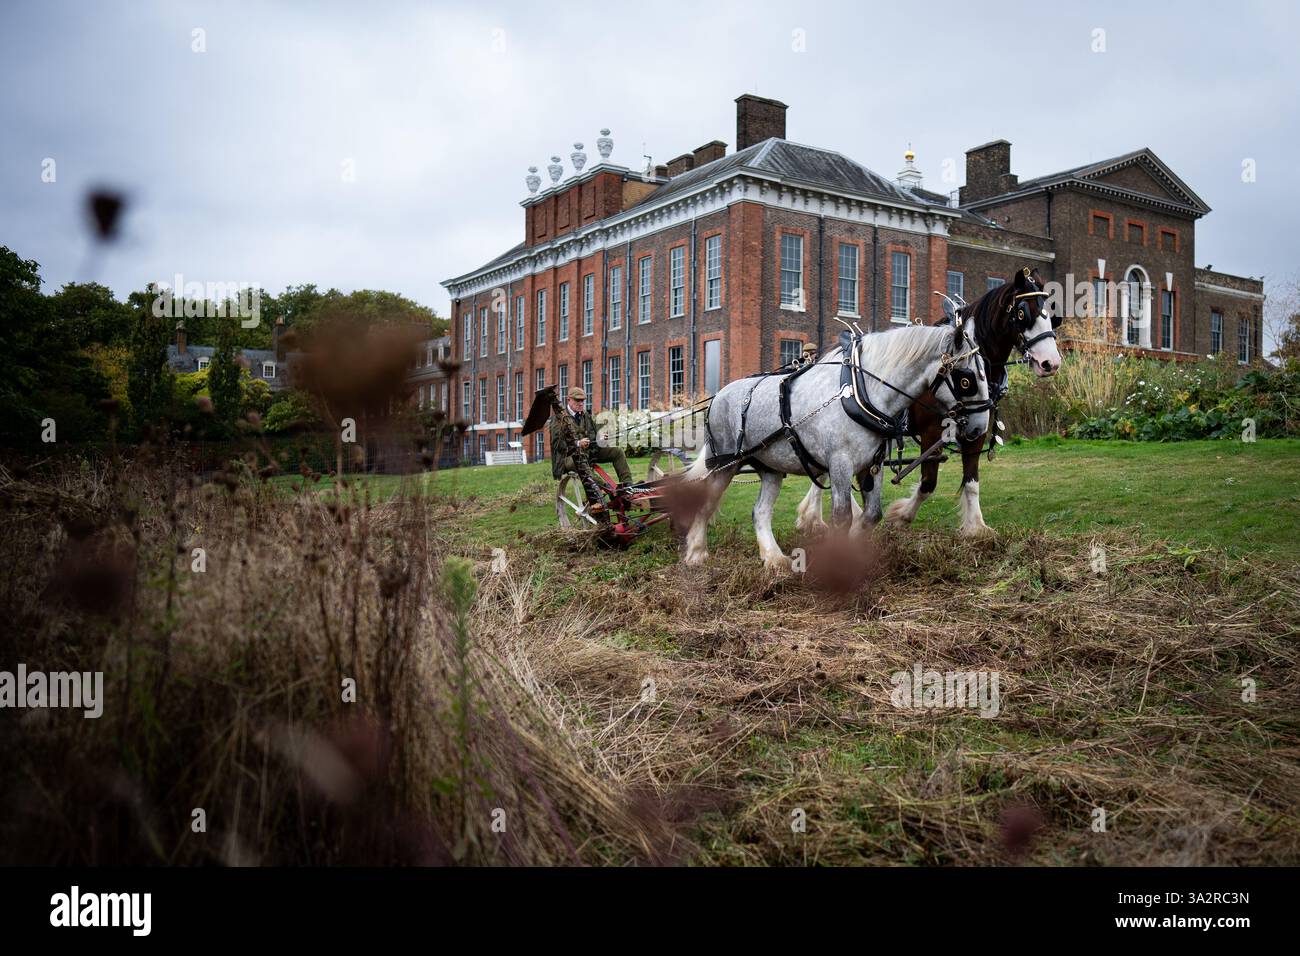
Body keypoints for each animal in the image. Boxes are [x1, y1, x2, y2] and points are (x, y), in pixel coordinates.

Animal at [679, 320, 991, 569]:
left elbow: (871, 515)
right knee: (705, 504)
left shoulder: (872, 465)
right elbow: (842, 516)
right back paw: (696, 554)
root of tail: (719, 395)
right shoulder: (840, 463)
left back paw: (774, 558)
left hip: (771, 468)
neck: (859, 391)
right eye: (966, 380)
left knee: (760, 512)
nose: (980, 428)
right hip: (724, 465)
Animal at [794, 266, 1062, 538]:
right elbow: (928, 483)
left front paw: (976, 527)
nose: (1050, 363)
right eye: (1022, 313)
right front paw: (901, 515)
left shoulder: (977, 428)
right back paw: (815, 517)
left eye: (1052, 316)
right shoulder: (932, 431)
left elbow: (971, 480)